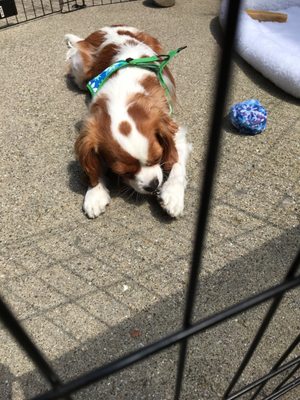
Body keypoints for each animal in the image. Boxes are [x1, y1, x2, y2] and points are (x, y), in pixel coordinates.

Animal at [64, 25, 191, 219]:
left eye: (157, 157)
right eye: (124, 172)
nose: (153, 185)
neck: (123, 95)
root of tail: (107, 28)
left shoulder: (174, 131)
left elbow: (177, 160)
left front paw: (173, 195)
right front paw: (95, 193)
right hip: (81, 70)